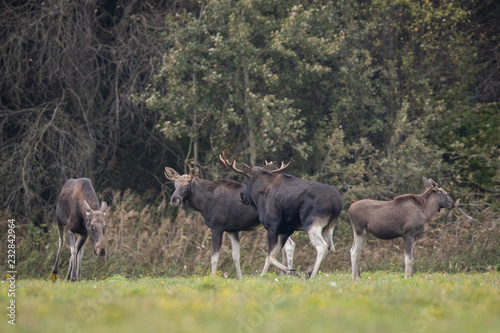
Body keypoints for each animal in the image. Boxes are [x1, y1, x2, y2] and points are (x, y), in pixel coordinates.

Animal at [164, 166, 296, 278]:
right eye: (175, 184)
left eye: (187, 184)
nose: (174, 200)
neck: (202, 203)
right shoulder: (232, 230)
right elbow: (236, 256)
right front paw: (240, 279)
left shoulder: (217, 227)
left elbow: (214, 257)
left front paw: (212, 278)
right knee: (286, 246)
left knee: (287, 246)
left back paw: (279, 274)